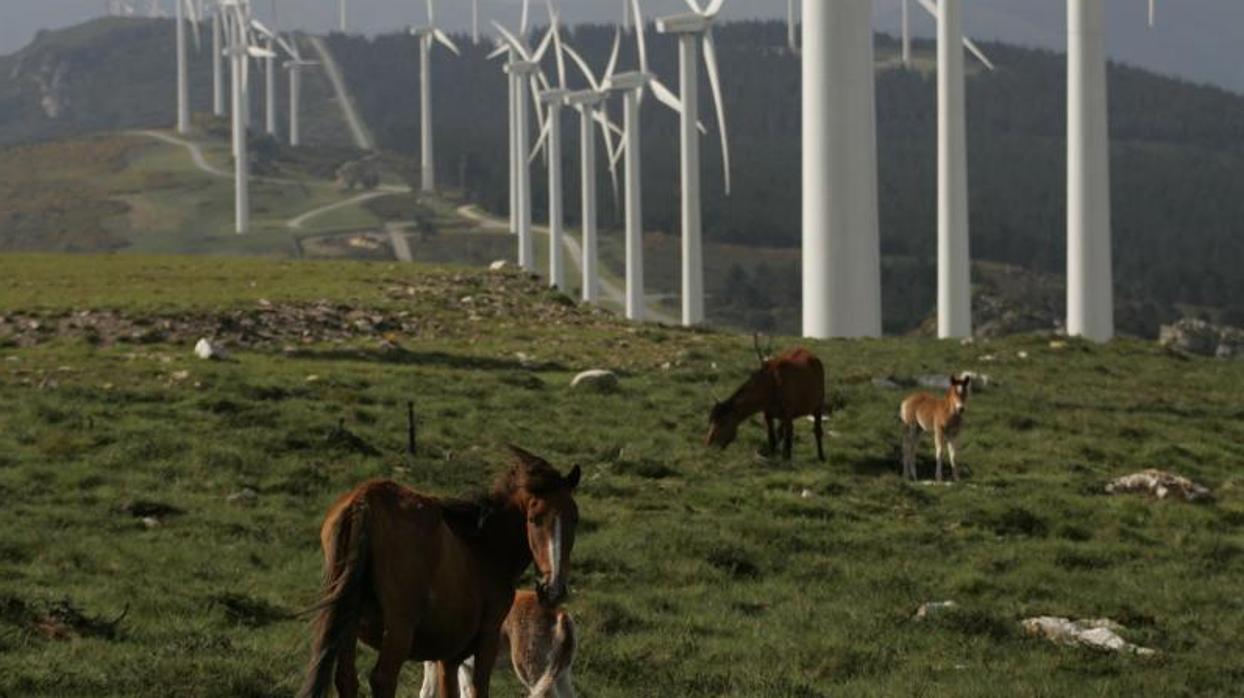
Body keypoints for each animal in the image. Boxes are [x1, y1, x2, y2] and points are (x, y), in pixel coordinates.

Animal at [417, 587, 572, 696]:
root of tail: (559, 613)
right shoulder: (464, 667)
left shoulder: (437, 664)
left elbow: (425, 692)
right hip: (559, 676)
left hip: (532, 675)